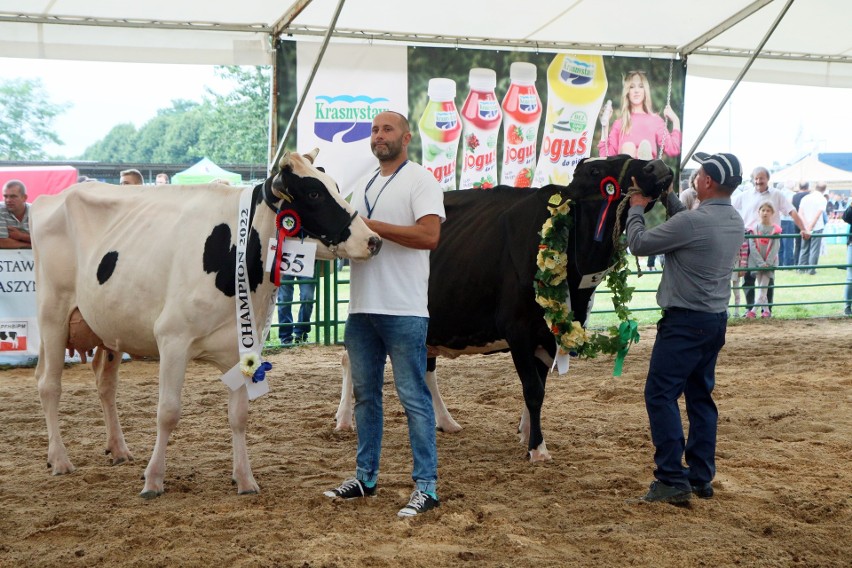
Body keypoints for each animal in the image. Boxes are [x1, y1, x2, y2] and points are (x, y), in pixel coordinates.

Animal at [32, 150, 380, 496]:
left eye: (335, 186)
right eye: (314, 193)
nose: (373, 240)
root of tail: (49, 199)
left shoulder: (243, 348)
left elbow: (238, 416)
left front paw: (244, 478)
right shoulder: (172, 338)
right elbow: (168, 412)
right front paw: (153, 479)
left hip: (109, 329)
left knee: (105, 384)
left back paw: (118, 449)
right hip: (52, 314)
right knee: (49, 385)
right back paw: (59, 459)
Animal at [334, 155, 672, 462]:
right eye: (597, 171)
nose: (658, 166)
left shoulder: (548, 334)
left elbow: (540, 387)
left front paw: (527, 432)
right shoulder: (518, 329)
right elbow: (533, 389)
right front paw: (538, 449)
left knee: (425, 368)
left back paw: (445, 421)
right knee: (350, 357)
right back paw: (344, 420)